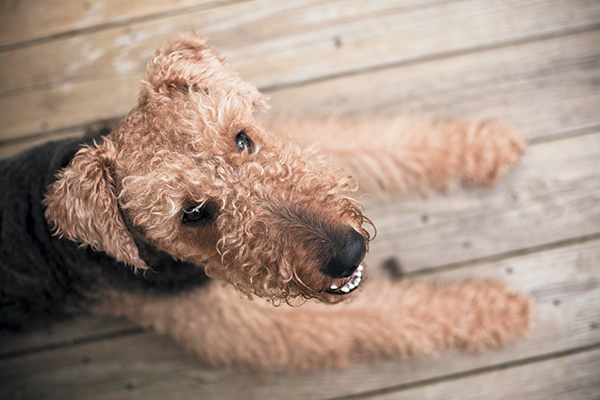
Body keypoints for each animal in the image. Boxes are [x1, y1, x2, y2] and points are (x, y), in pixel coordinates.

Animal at [1, 34, 536, 372]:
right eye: (192, 214)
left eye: (242, 138)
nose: (349, 252)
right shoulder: (254, 325)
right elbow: (382, 316)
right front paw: (499, 311)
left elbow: (375, 140)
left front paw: (487, 147)